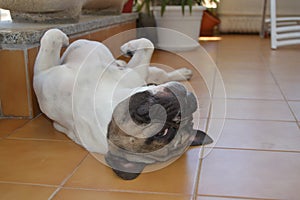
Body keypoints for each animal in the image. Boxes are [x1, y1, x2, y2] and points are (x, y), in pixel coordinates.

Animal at [34, 28, 212, 180]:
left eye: (162, 133)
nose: (189, 104)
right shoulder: (135, 74)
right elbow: (148, 43)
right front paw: (129, 48)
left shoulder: (41, 76)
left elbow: (51, 36)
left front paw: (62, 38)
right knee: (158, 73)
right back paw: (181, 73)